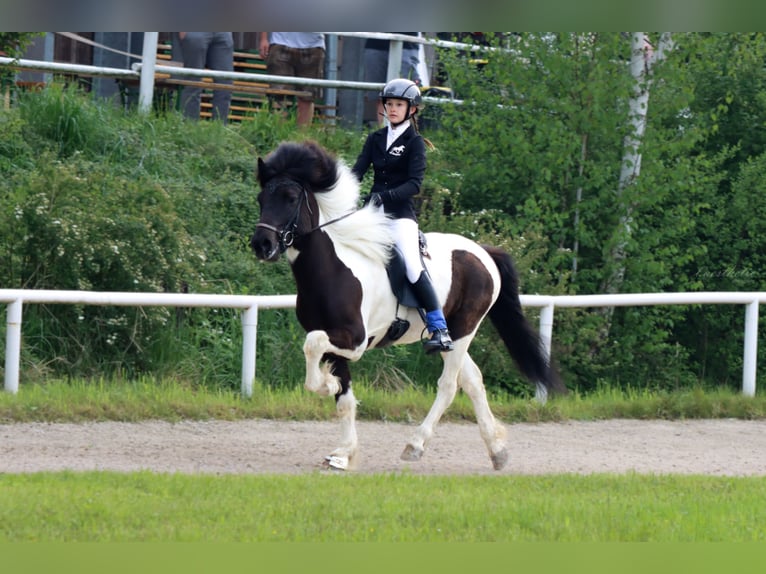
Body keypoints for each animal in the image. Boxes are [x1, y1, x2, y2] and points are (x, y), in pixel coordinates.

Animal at [249, 141, 568, 472]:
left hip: (465, 329)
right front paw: (343, 453)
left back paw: (415, 445)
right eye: (262, 198)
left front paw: (328, 384)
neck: (331, 269)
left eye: (290, 198)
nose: (262, 244)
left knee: (449, 385)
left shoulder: (354, 340)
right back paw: (497, 451)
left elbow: (313, 348)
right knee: (473, 381)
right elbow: (344, 399)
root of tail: (483, 251)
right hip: (454, 336)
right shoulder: (334, 339)